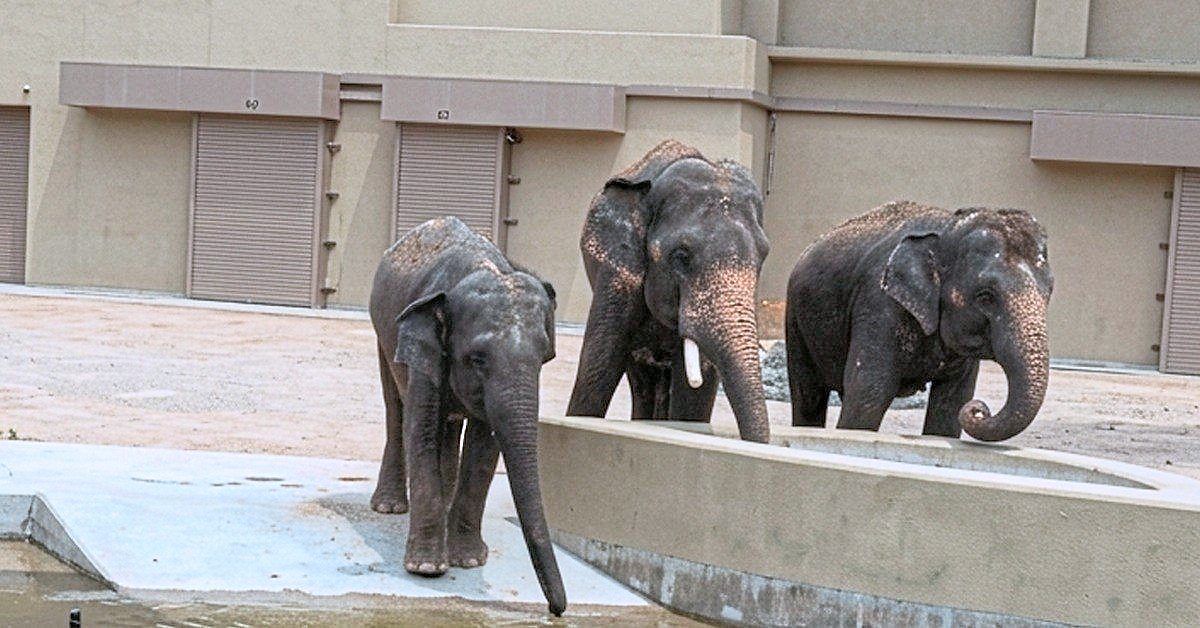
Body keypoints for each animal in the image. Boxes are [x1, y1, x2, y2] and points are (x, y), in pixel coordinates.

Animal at [368, 217, 565, 616]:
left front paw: (470, 561)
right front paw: (426, 568)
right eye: (477, 359)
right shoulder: (423, 347)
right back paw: (389, 507)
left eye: (545, 357)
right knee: (396, 410)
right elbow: (421, 431)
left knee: (448, 426)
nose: (557, 611)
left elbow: (484, 446)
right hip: (383, 335)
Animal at [785, 201, 1053, 442]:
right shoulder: (879, 305)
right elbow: (869, 392)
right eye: (985, 296)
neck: (948, 227)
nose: (979, 410)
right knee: (808, 395)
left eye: (1049, 292)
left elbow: (952, 403)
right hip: (796, 320)